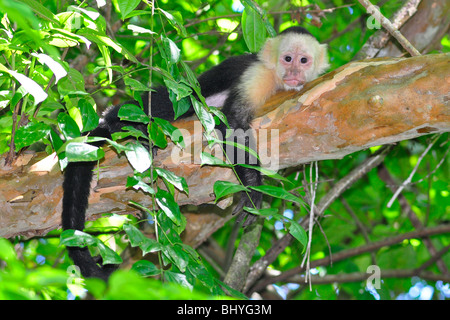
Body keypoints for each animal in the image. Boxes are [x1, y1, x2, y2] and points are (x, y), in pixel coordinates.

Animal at [62, 26, 330, 278]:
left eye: (303, 60)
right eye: (287, 59)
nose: (294, 73)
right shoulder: (258, 74)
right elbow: (234, 119)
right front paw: (252, 188)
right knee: (177, 100)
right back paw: (118, 123)